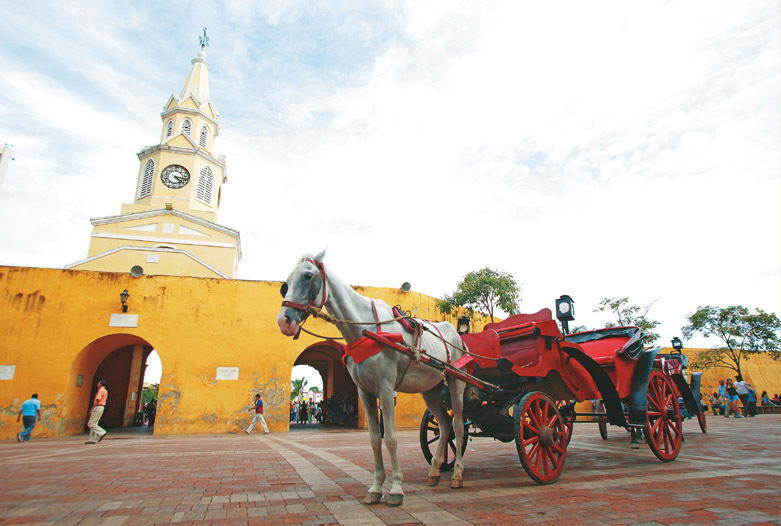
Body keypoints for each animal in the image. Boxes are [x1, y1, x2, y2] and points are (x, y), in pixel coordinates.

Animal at [278, 252, 466, 508]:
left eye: (308, 276)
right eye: (285, 283)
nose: (284, 320)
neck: (366, 331)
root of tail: (458, 336)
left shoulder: (386, 389)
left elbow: (391, 439)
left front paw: (396, 488)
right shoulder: (364, 391)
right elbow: (375, 439)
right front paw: (376, 488)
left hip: (457, 383)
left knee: (458, 425)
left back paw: (457, 475)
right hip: (431, 388)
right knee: (445, 425)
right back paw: (435, 471)